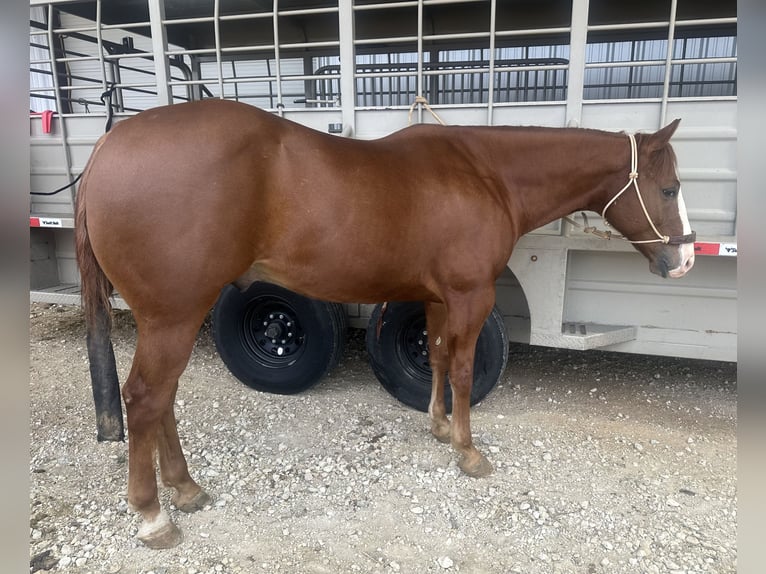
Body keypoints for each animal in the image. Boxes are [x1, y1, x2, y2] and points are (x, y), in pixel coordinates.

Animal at [76, 99, 696, 548]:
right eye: (668, 188)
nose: (684, 259)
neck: (485, 173)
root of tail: (108, 145)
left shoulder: (438, 298)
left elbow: (440, 355)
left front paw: (439, 426)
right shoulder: (470, 296)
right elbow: (464, 369)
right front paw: (468, 451)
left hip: (172, 318)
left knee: (162, 399)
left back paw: (184, 488)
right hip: (173, 316)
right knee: (146, 398)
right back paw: (154, 515)